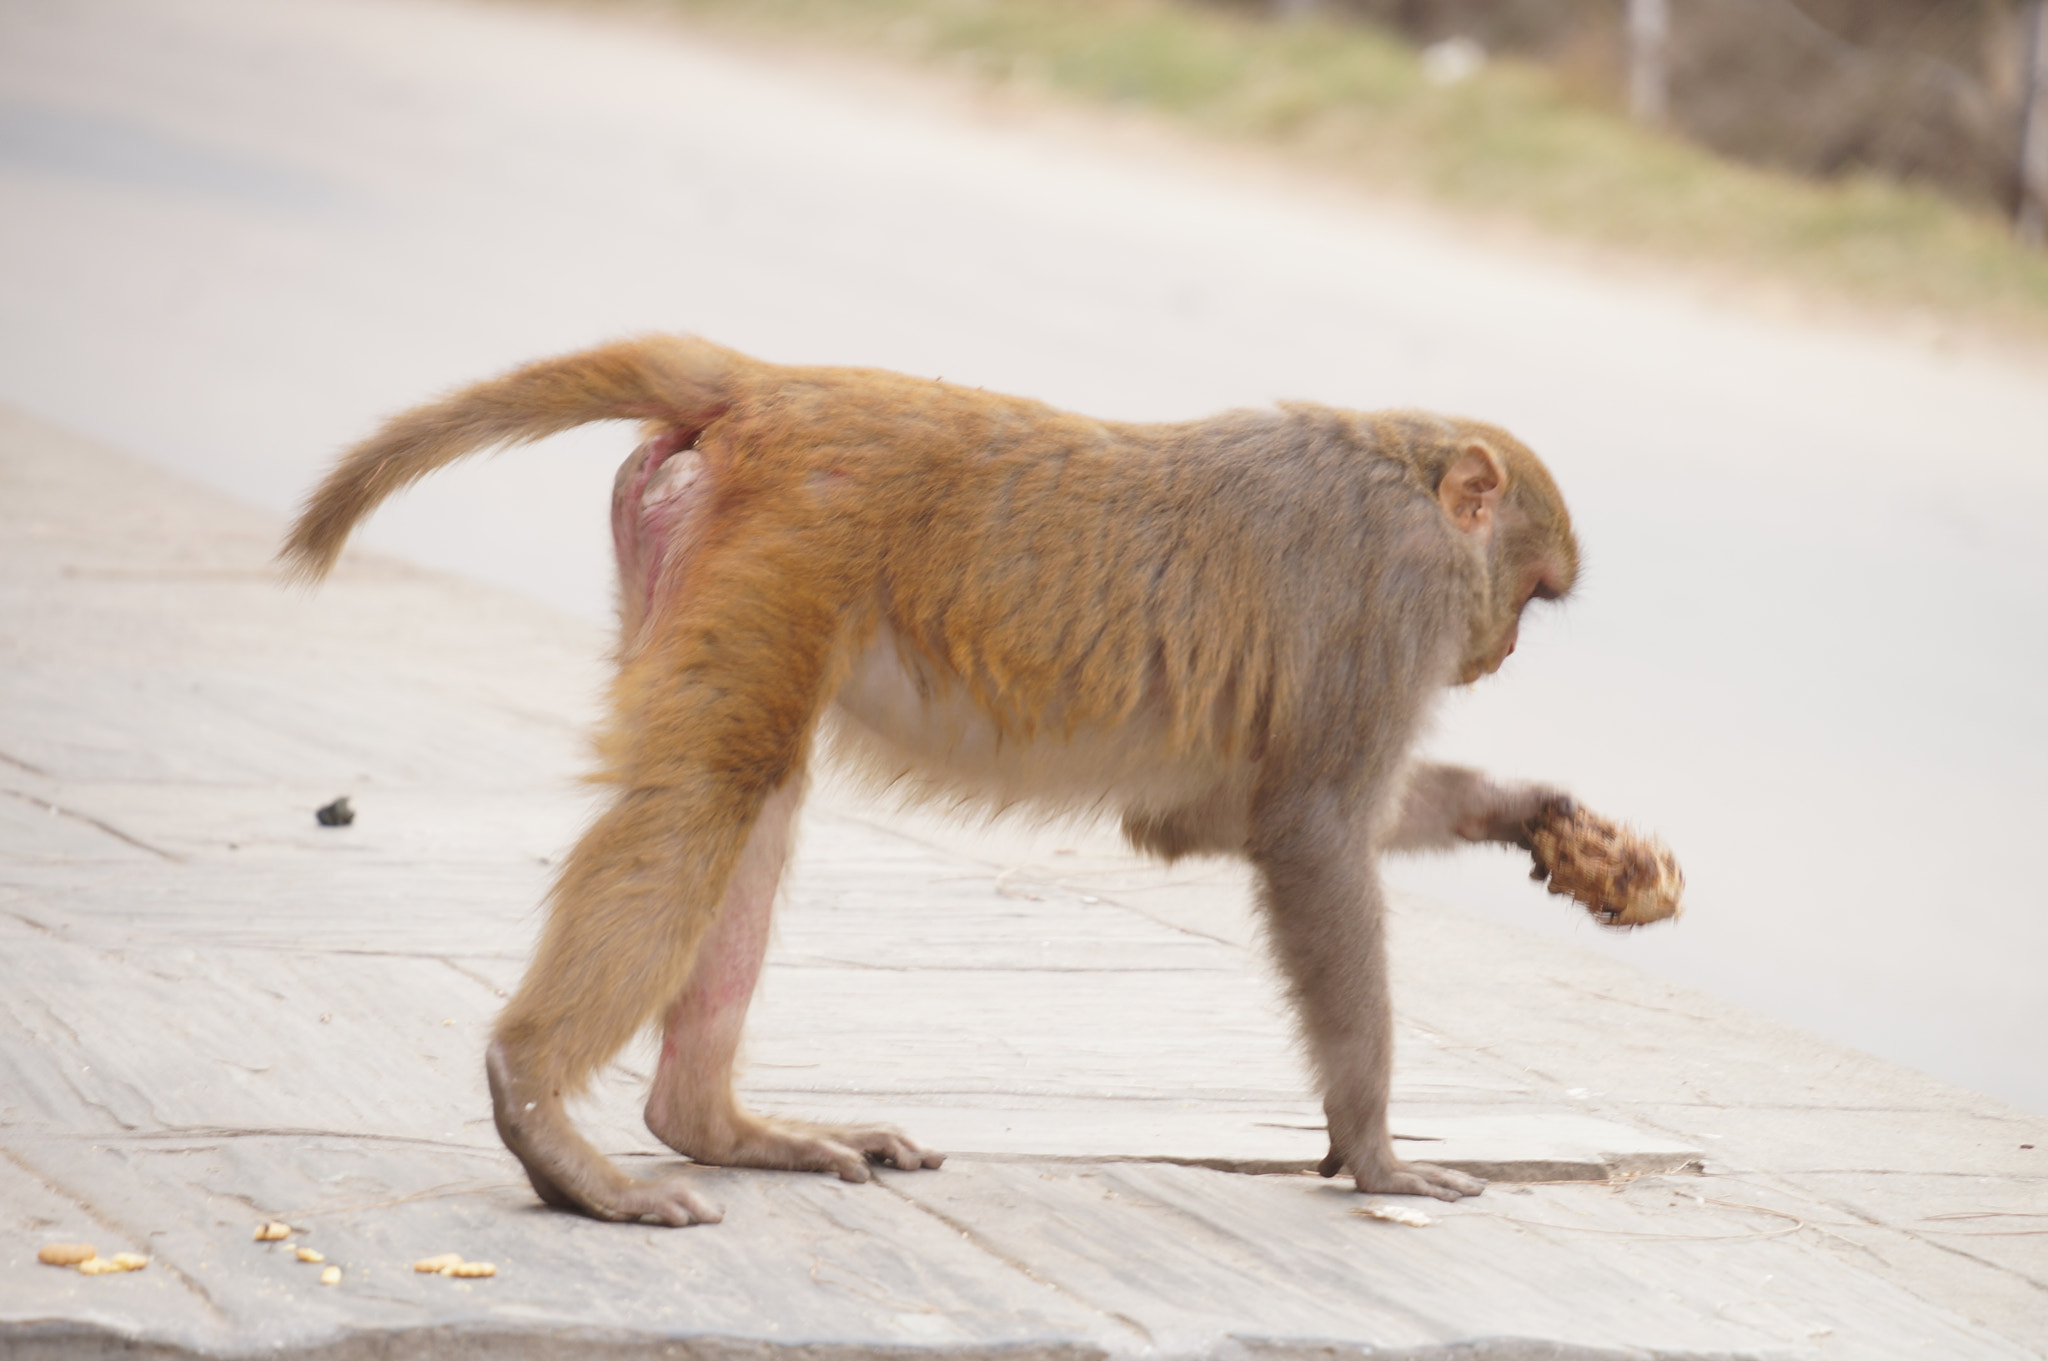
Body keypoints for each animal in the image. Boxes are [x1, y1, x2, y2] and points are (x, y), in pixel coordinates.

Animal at [280, 333, 1572, 1227]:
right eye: (1528, 591)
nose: (1501, 648)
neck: (1398, 466)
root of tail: (772, 387)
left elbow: (1198, 816)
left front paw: (1533, 816)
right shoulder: (1389, 603)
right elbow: (1310, 832)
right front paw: (1376, 1153)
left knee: (753, 792)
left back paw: (708, 1124)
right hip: (790, 540)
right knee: (719, 784)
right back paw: (543, 1110)